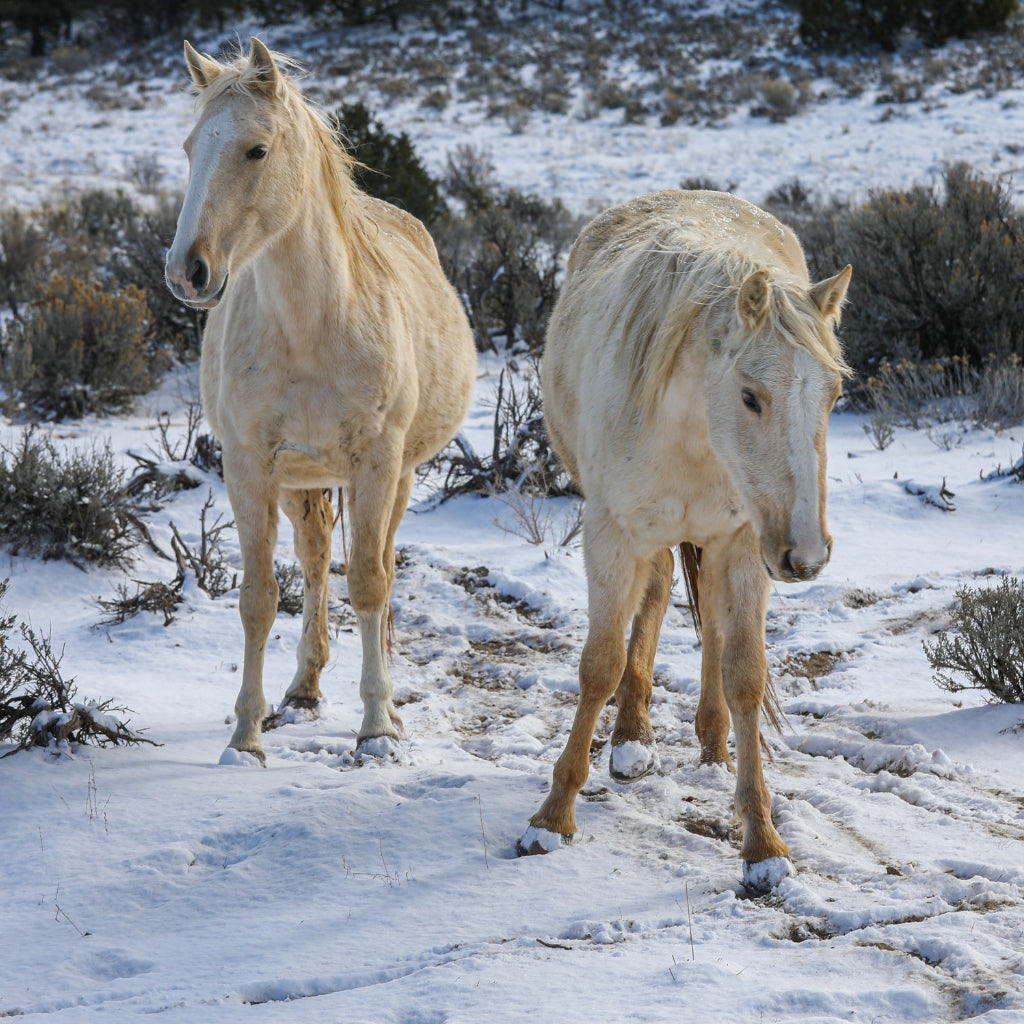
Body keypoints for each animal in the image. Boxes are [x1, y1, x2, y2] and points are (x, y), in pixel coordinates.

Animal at [164, 37, 475, 761]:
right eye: (191, 147)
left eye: (256, 149)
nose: (186, 272)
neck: (311, 328)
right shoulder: (248, 465)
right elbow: (259, 597)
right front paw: (246, 737)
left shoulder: (377, 462)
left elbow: (367, 581)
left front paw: (378, 728)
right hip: (300, 479)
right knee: (311, 560)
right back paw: (304, 687)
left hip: (397, 476)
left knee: (379, 565)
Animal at [516, 190, 851, 888]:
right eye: (751, 396)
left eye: (835, 394)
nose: (807, 555)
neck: (695, 433)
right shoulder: (612, 537)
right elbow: (598, 666)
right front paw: (552, 817)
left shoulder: (747, 542)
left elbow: (745, 673)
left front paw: (762, 844)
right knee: (657, 591)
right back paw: (631, 738)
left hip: (722, 543)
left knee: (712, 631)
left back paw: (711, 741)